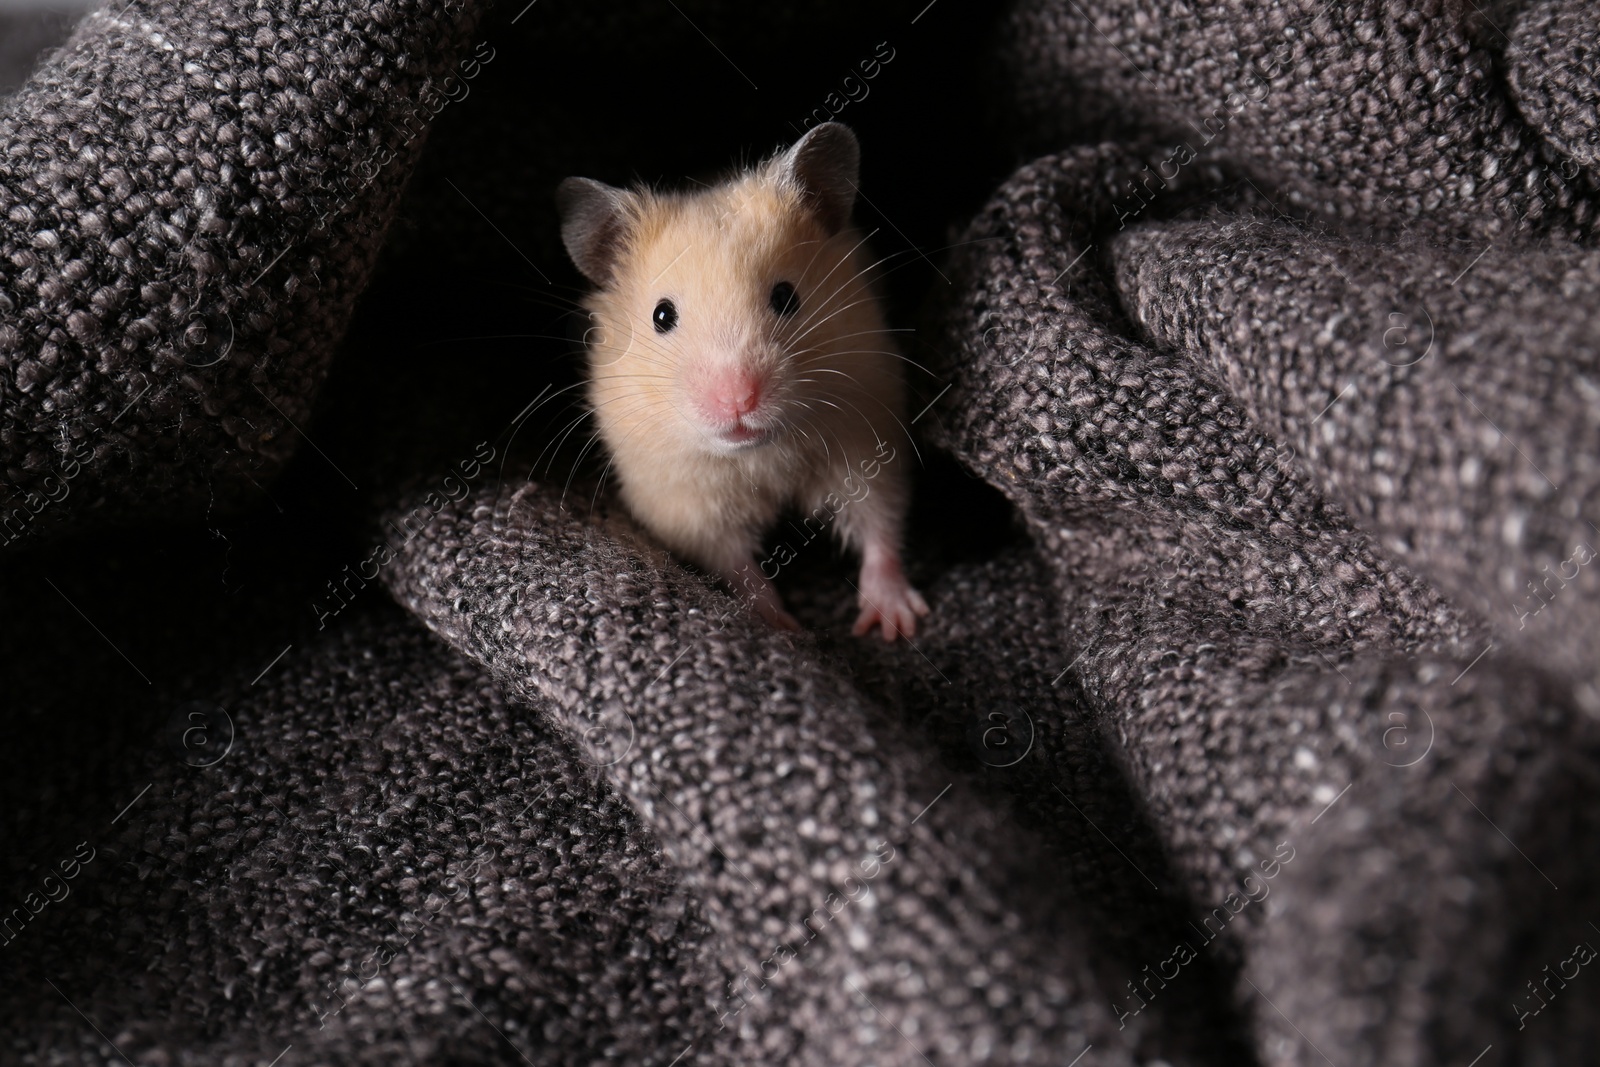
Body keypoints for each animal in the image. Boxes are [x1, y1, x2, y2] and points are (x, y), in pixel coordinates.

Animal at [553, 125, 928, 643]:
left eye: (786, 297)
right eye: (662, 316)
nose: (738, 401)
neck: (759, 455)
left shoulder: (868, 438)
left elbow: (879, 524)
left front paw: (895, 624)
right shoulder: (687, 507)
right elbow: (736, 566)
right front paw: (785, 627)